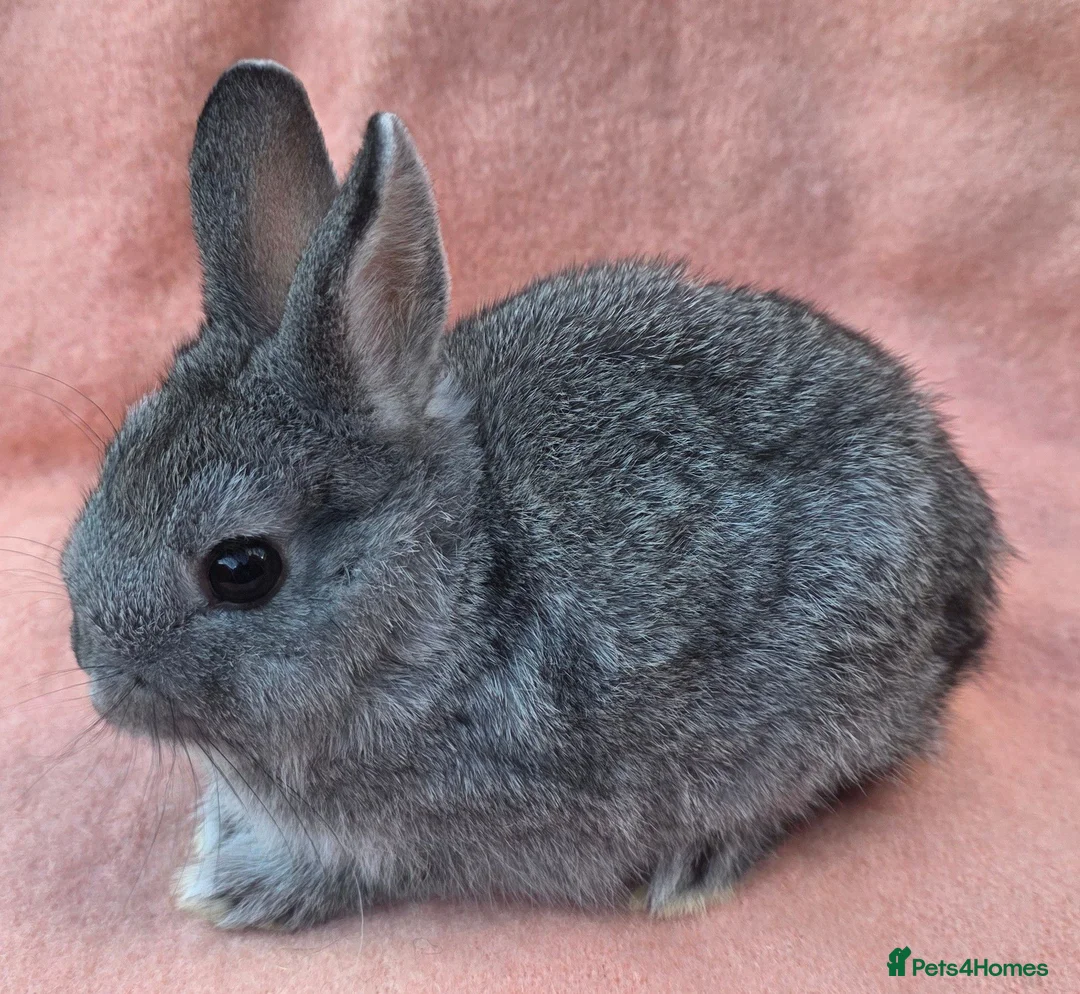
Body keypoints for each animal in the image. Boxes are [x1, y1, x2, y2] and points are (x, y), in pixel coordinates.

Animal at [61, 59, 1003, 931]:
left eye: (242, 568)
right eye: (113, 463)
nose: (97, 670)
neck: (450, 594)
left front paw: (236, 889)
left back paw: (694, 866)